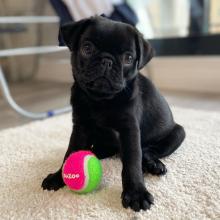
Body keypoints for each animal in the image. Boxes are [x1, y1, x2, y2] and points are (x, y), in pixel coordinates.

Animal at [42, 15, 185, 211]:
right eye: (87, 48)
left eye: (128, 58)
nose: (107, 61)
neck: (101, 100)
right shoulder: (80, 128)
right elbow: (70, 152)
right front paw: (58, 177)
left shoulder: (129, 130)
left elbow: (132, 161)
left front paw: (136, 193)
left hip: (178, 133)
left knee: (147, 150)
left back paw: (153, 164)